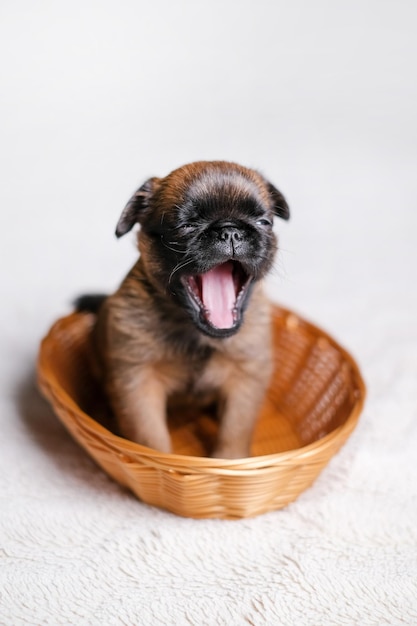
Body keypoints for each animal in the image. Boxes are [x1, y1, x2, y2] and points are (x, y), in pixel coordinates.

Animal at [83, 158, 288, 456]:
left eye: (264, 222)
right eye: (188, 225)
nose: (231, 231)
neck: (196, 334)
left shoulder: (246, 379)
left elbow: (235, 431)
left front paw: (229, 460)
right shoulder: (139, 384)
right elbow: (151, 438)